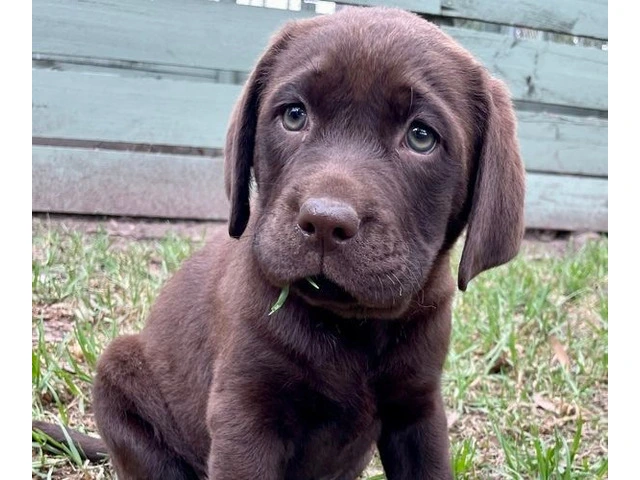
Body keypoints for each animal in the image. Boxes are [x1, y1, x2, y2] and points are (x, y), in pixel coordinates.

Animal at [90, 6, 525, 479]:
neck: (350, 325)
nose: (324, 221)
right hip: (118, 376)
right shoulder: (244, 415)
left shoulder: (418, 409)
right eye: (294, 115)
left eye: (421, 136)